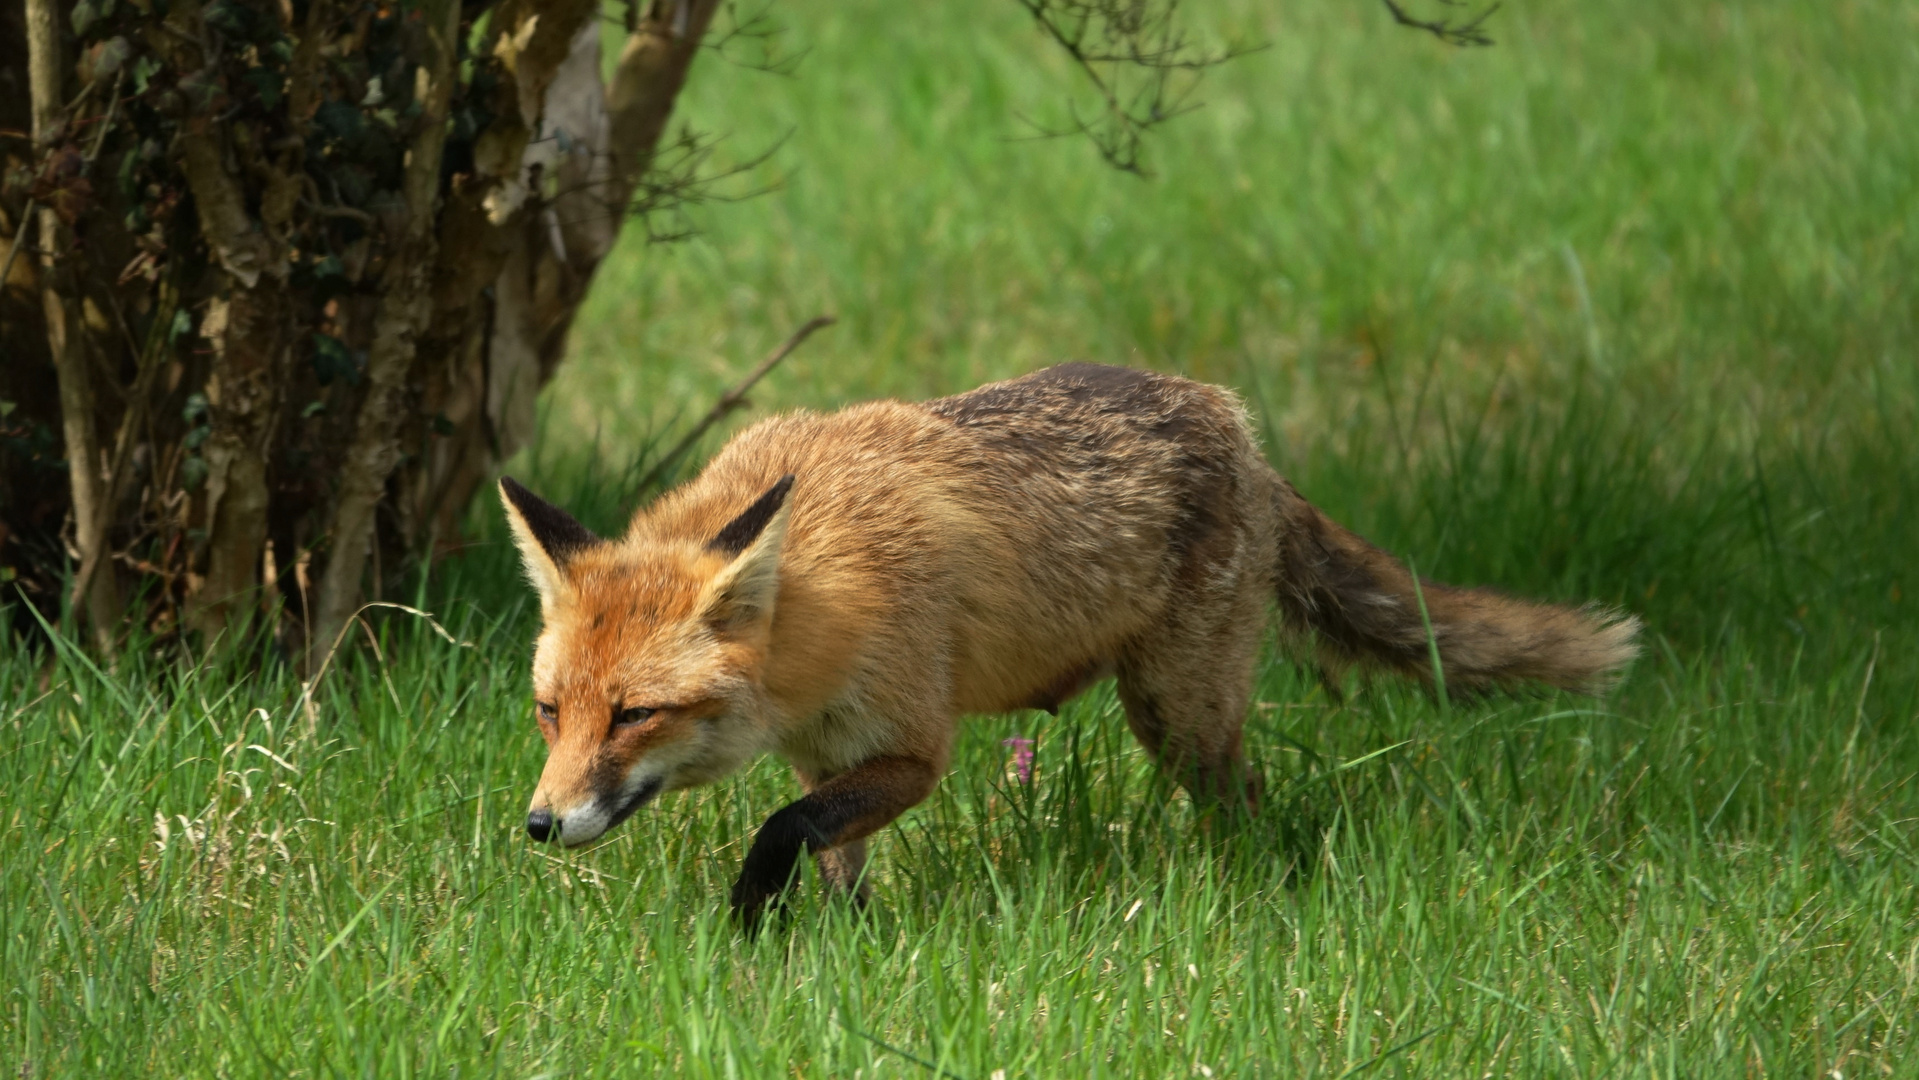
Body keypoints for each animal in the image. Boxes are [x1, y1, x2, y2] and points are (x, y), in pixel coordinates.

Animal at [502, 368, 1642, 924]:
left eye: (636, 715)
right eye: (552, 712)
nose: (539, 826)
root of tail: (1238, 427)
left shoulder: (914, 750)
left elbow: (781, 831)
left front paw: (743, 923)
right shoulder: (829, 755)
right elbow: (832, 858)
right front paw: (829, 949)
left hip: (1178, 716)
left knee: (1247, 804)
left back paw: (1246, 891)